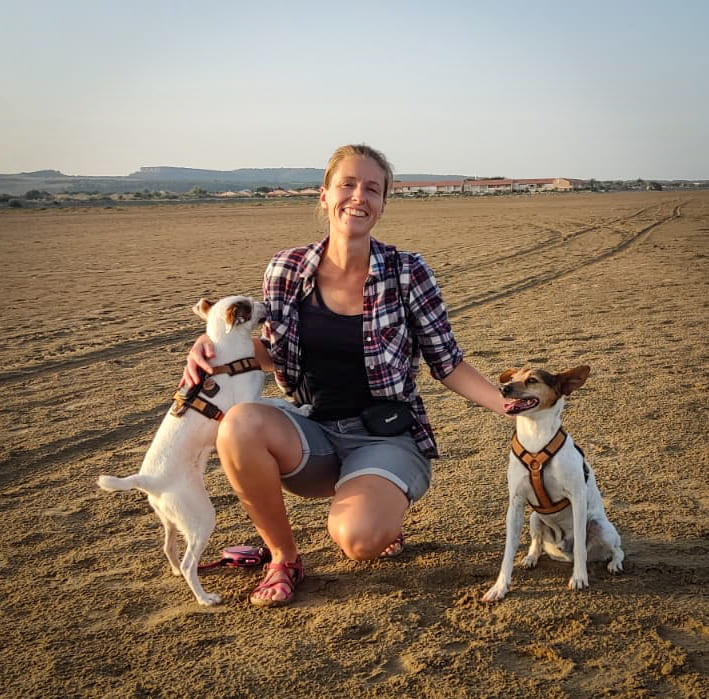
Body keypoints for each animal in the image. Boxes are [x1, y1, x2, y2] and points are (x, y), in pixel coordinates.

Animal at [97, 296, 266, 608]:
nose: (266, 304)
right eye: (249, 305)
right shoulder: (246, 402)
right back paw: (205, 598)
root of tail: (148, 481)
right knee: (189, 564)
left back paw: (176, 571)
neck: (228, 350)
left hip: (171, 520)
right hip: (202, 518)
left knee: (168, 548)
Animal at [484, 366, 624, 600]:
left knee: (616, 549)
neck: (535, 436)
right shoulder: (516, 504)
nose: (503, 388)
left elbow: (580, 548)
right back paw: (531, 557)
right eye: (512, 378)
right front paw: (499, 587)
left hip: (600, 526)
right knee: (537, 541)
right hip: (534, 518)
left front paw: (579, 577)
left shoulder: (577, 498)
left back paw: (614, 564)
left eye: (532, 380)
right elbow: (508, 552)